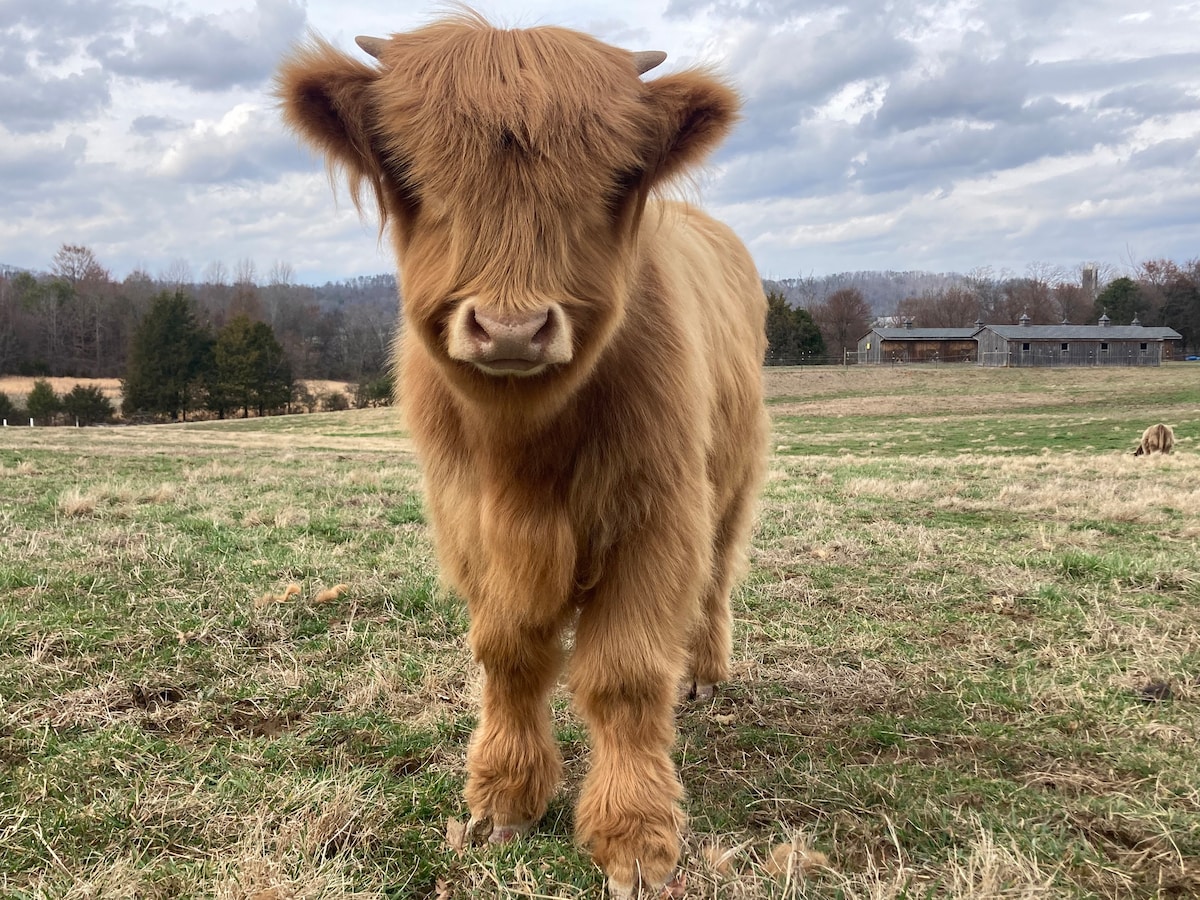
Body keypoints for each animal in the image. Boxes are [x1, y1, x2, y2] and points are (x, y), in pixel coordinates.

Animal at [278, 15, 768, 900]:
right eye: (412, 174)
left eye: (611, 181)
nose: (510, 330)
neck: (523, 460)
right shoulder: (469, 521)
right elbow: (507, 654)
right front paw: (503, 801)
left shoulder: (657, 516)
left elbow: (626, 673)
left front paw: (634, 838)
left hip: (731, 480)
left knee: (717, 576)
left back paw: (707, 673)